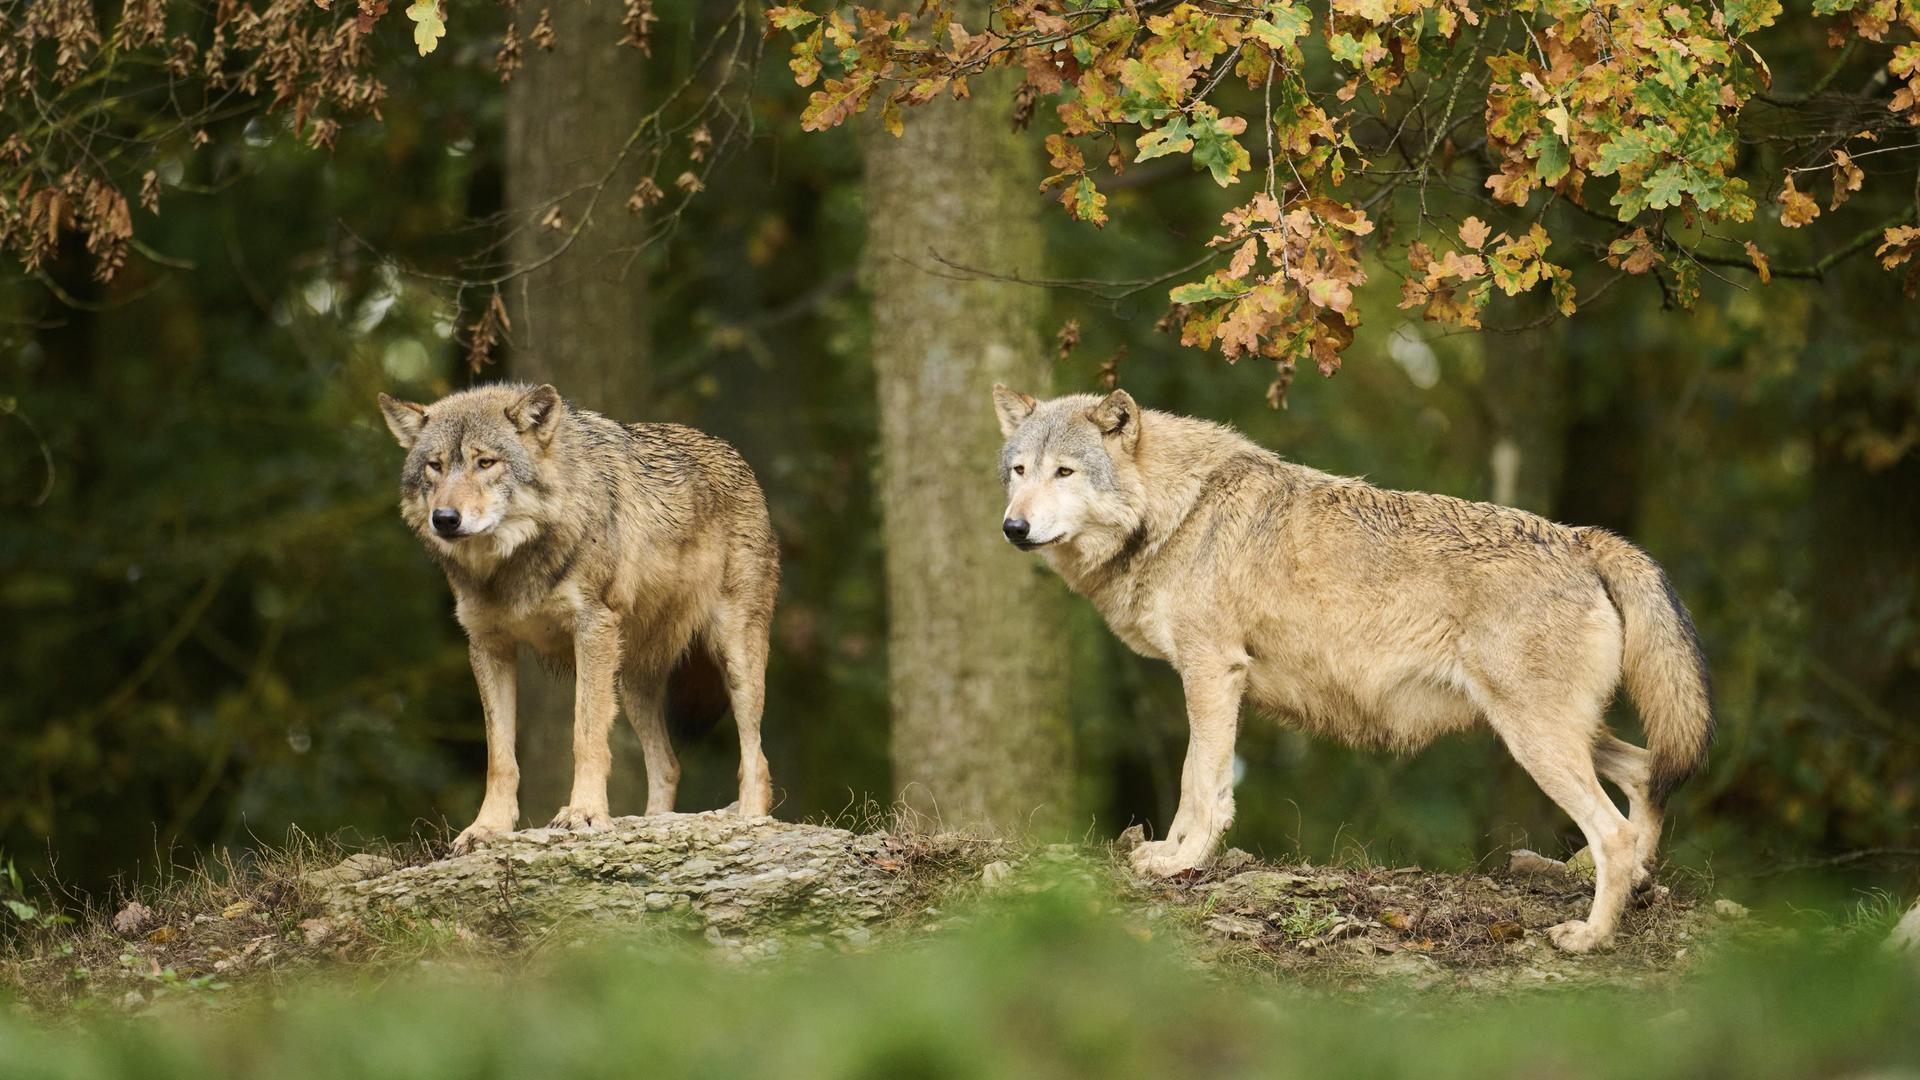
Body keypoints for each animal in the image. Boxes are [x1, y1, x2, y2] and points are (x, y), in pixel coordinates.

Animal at [378, 380, 775, 849]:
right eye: (435, 467)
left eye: (485, 462)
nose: (444, 519)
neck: (512, 566)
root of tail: (736, 456)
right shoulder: (489, 646)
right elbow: (500, 757)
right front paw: (487, 827)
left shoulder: (591, 631)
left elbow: (585, 737)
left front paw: (583, 813)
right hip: (632, 684)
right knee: (668, 764)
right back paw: (653, 822)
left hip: (734, 660)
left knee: (756, 758)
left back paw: (749, 821)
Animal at [990, 382, 1712, 945]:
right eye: (1019, 471)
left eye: (1065, 473)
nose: (1012, 529)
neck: (1178, 512)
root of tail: (1582, 538)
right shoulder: (1213, 679)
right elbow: (1202, 783)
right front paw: (1169, 854)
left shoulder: (1212, 672)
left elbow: (1201, 785)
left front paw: (1179, 862)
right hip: (1553, 735)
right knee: (1647, 775)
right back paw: (1635, 894)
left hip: (1535, 740)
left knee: (1614, 833)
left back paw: (1590, 938)